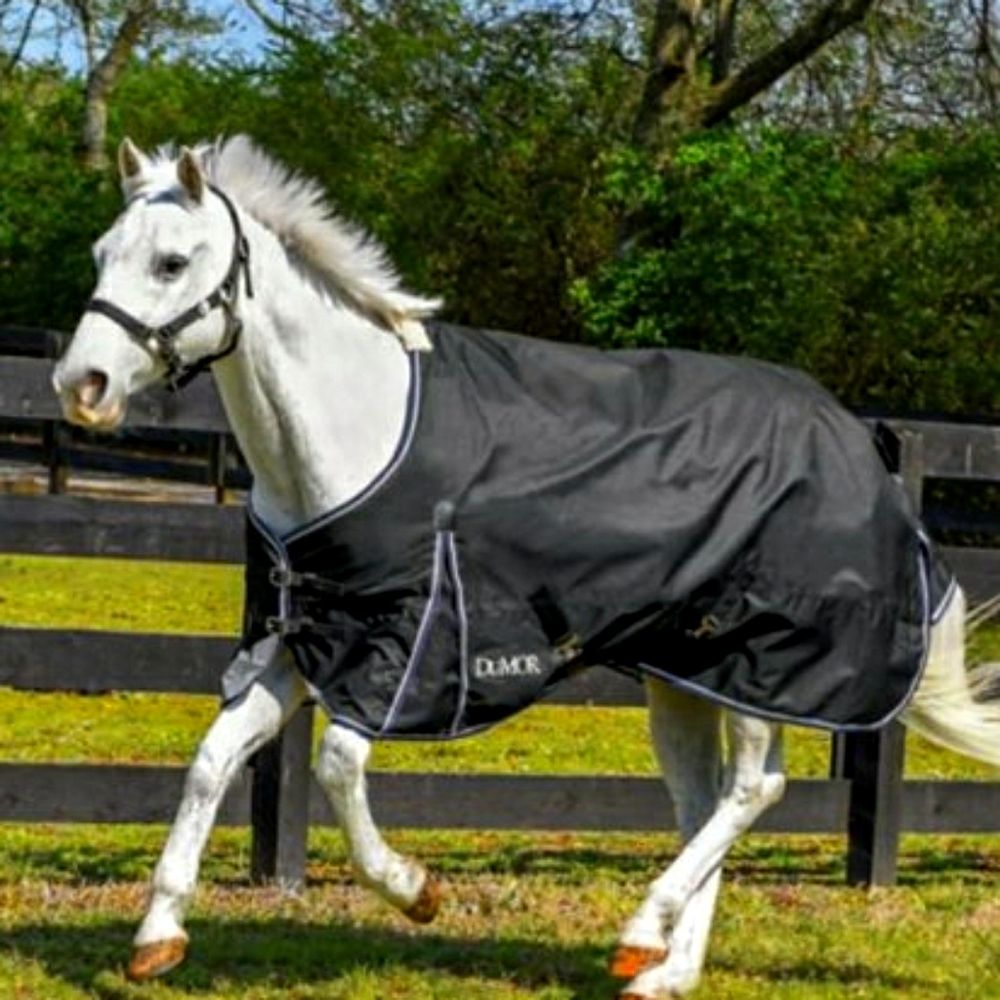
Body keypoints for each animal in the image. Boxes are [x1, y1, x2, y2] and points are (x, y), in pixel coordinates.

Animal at [52, 135, 1000, 999]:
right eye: (102, 254)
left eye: (172, 261)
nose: (81, 385)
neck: (360, 433)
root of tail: (859, 441)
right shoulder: (306, 641)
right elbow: (213, 761)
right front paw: (158, 937)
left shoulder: (408, 650)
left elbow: (336, 768)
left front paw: (416, 891)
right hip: (684, 676)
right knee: (703, 802)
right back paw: (665, 972)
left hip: (759, 667)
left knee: (752, 790)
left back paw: (641, 931)